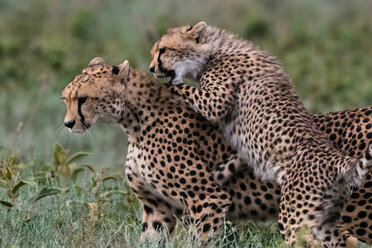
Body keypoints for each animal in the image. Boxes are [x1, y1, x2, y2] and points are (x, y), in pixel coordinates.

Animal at [62, 57, 370, 246]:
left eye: (84, 99)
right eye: (66, 98)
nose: (68, 123)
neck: (133, 122)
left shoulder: (207, 199)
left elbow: (202, 240)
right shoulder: (156, 209)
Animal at [149, 22, 372, 247]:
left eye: (163, 50)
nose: (151, 69)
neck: (214, 50)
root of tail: (338, 160)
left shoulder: (214, 101)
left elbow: (179, 88)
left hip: (295, 217)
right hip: (327, 219)